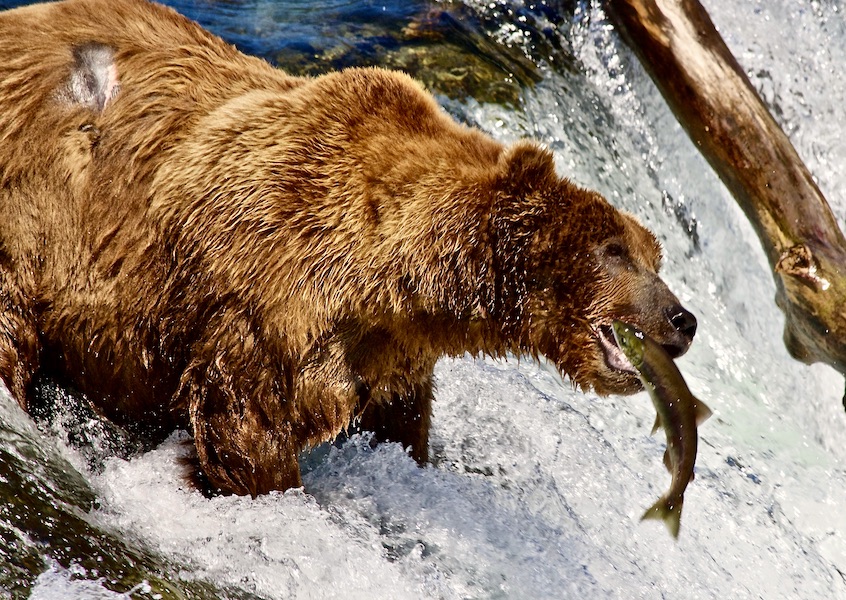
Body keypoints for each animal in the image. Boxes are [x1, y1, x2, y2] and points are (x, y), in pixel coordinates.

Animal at [0, 0, 700, 496]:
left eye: (655, 257)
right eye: (614, 251)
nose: (683, 318)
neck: (394, 280)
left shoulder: (390, 355)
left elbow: (397, 429)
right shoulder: (268, 296)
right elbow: (246, 426)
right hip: (33, 211)